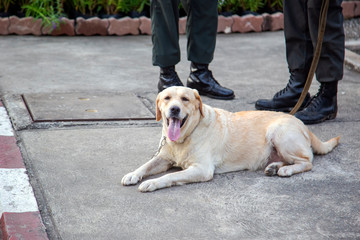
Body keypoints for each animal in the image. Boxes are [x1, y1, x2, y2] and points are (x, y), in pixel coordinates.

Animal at [121, 86, 340, 191]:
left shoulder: (202, 169)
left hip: (279, 132)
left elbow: (170, 176)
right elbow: (146, 165)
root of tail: (299, 121)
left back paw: (286, 169)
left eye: (185, 99)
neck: (185, 137)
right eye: (167, 98)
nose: (174, 109)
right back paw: (274, 167)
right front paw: (133, 174)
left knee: (307, 161)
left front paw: (152, 183)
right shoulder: (163, 157)